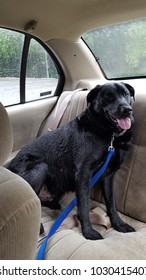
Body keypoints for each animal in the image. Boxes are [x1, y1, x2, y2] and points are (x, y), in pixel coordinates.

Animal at [8, 82, 135, 240]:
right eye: (108, 97)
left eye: (126, 94)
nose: (127, 110)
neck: (109, 135)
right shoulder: (83, 173)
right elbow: (84, 205)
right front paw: (88, 231)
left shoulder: (108, 175)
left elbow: (111, 203)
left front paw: (119, 224)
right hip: (40, 167)